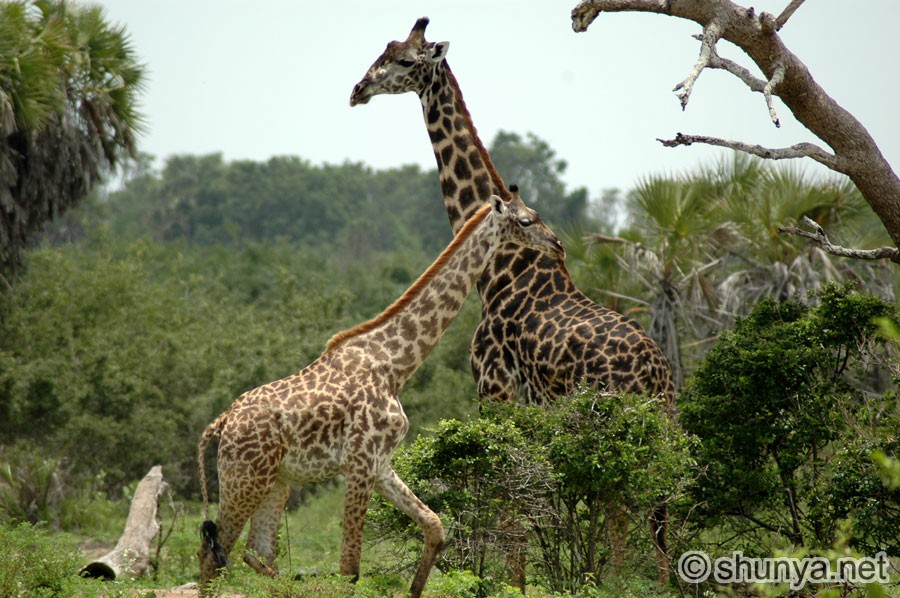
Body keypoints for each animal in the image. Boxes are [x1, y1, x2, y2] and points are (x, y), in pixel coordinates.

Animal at [196, 193, 564, 598]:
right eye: (527, 220)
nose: (559, 245)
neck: (395, 366)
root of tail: (221, 423)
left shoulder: (380, 463)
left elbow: (435, 526)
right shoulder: (359, 462)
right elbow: (350, 568)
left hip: (277, 480)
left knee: (255, 553)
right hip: (245, 478)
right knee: (214, 554)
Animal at [350, 16, 676, 588]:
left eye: (406, 61)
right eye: (381, 51)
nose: (357, 89)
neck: (498, 273)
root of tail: (656, 380)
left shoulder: (495, 391)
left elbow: (509, 497)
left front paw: (511, 583)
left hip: (612, 425)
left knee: (620, 505)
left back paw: (614, 582)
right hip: (664, 433)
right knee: (662, 514)